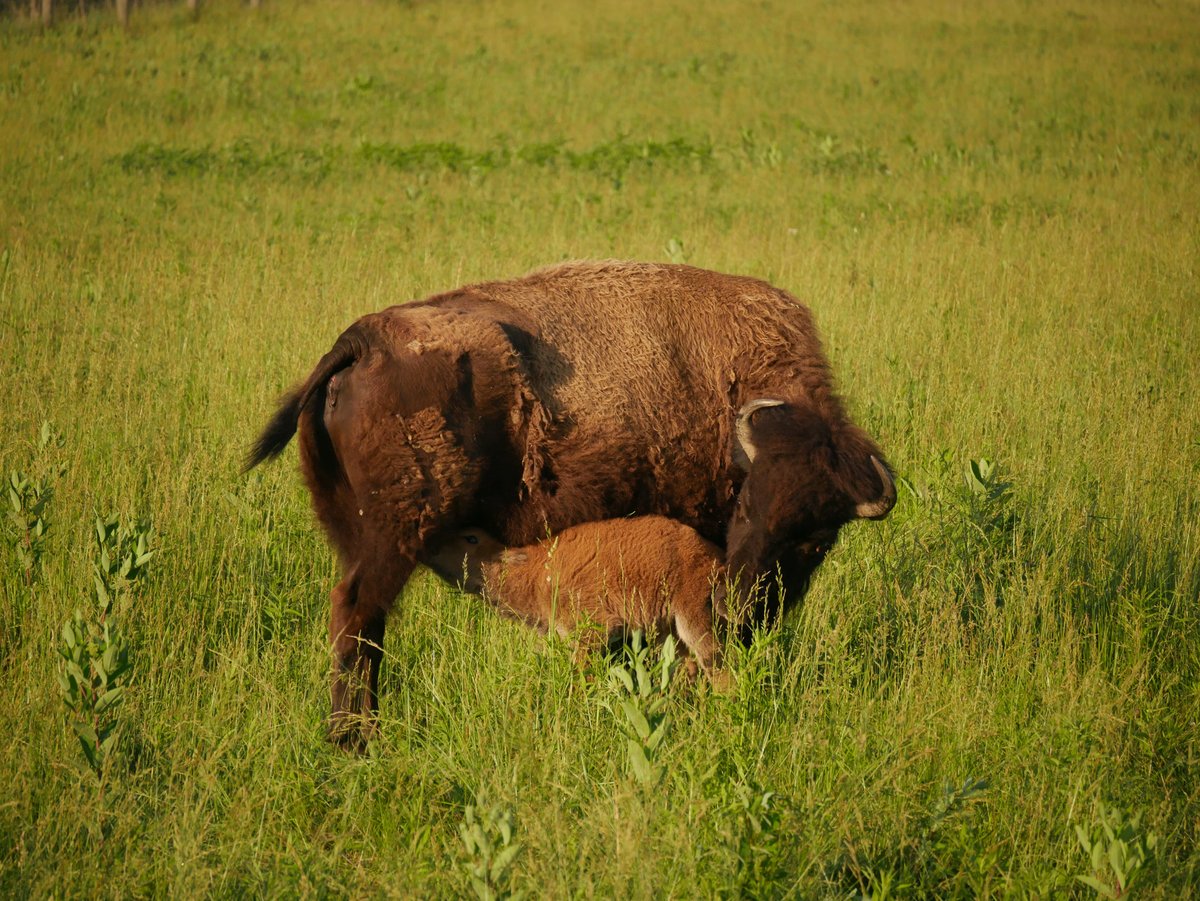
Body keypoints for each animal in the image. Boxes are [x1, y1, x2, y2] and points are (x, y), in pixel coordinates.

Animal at [247, 261, 895, 749]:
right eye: (745, 509)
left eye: (817, 539)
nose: (740, 605)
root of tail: (362, 341)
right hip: (395, 537)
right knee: (358, 616)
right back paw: (355, 739)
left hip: (355, 531)